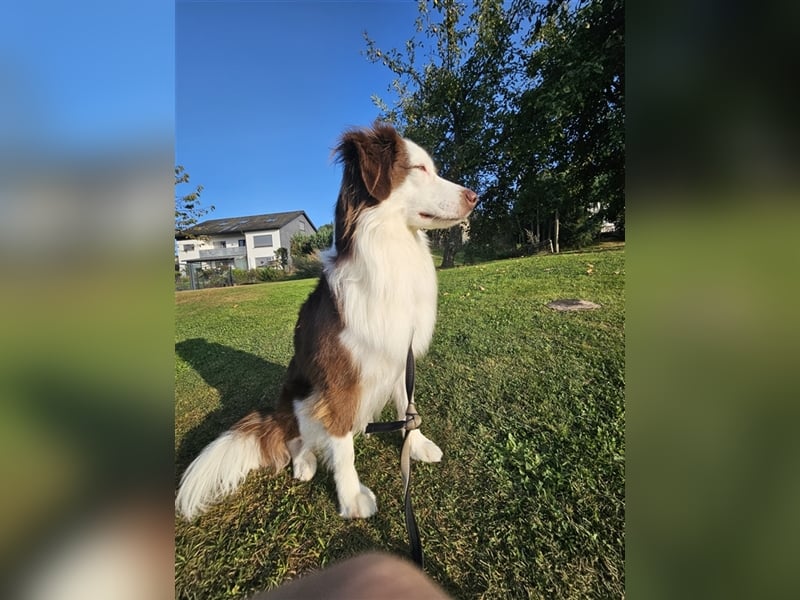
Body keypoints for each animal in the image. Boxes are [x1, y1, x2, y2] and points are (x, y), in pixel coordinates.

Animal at [175, 123, 476, 520]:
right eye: (419, 169)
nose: (475, 196)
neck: (390, 249)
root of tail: (275, 415)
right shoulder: (338, 379)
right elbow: (343, 449)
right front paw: (350, 499)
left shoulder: (400, 355)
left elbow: (407, 408)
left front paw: (417, 446)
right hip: (300, 397)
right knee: (297, 439)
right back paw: (304, 463)